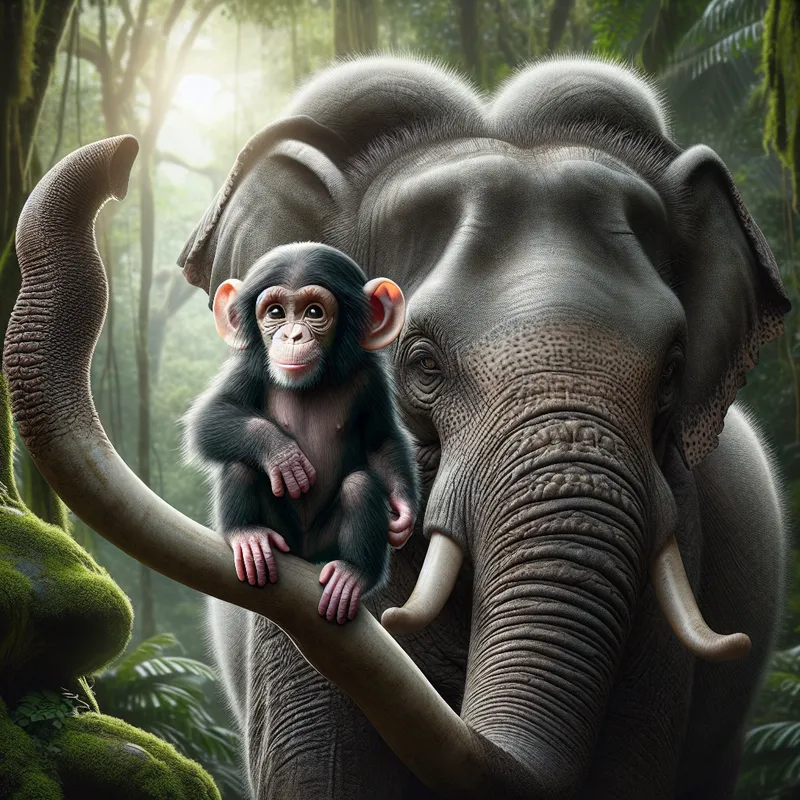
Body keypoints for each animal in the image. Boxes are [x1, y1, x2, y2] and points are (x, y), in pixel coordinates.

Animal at [183, 243, 420, 624]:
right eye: (275, 313)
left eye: (314, 312)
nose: (292, 335)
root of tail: (305, 555)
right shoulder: (248, 369)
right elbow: (209, 419)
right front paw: (283, 455)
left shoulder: (370, 377)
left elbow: (381, 440)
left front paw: (404, 510)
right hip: (282, 536)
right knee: (240, 464)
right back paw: (247, 536)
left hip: (325, 545)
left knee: (360, 485)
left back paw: (353, 574)